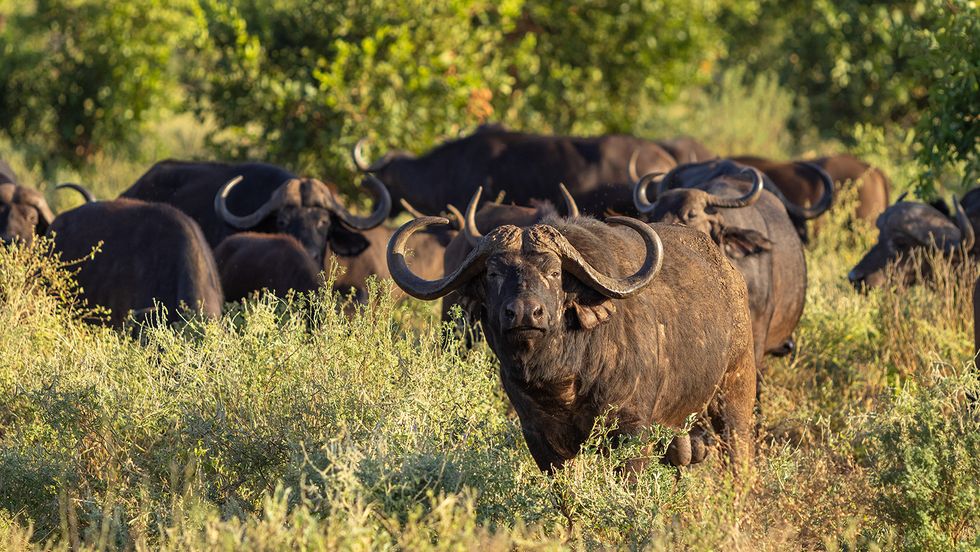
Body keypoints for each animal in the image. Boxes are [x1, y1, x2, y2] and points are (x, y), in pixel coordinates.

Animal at [388, 214, 756, 471]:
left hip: (736, 394)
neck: (564, 377)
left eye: (554, 272)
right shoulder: (539, 437)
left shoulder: (631, 431)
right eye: (493, 273)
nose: (525, 312)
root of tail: (732, 275)